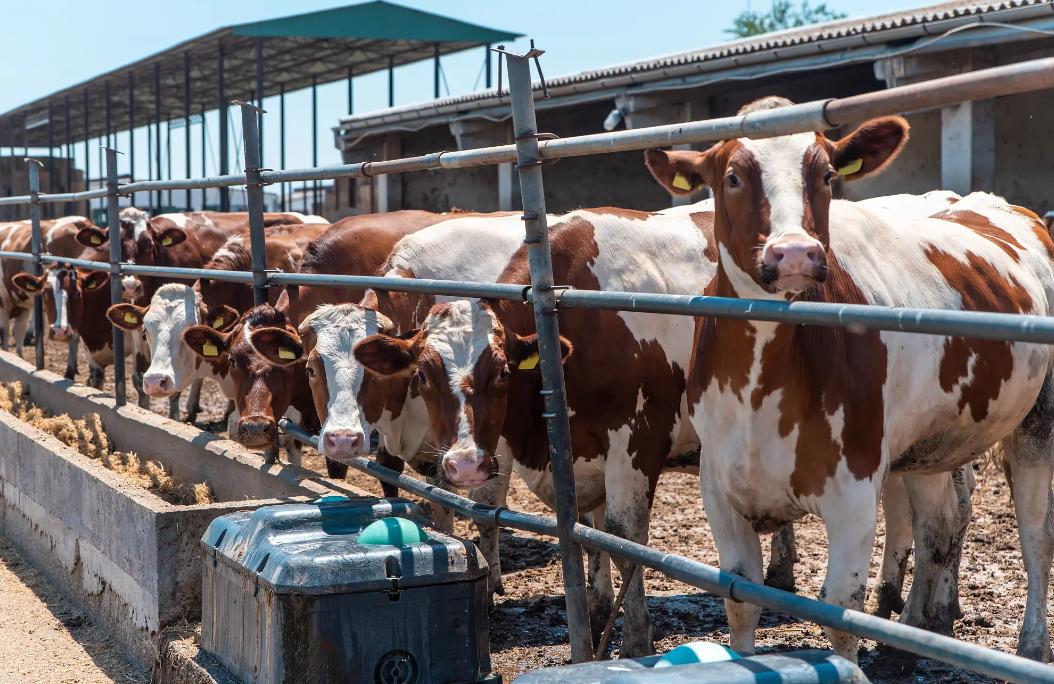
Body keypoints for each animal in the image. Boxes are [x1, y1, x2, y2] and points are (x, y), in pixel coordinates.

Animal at [645, 95, 1054, 661]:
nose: (795, 253)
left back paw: (1031, 644)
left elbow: (841, 612)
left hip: (1038, 421)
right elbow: (740, 599)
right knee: (939, 523)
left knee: (1034, 535)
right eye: (732, 176)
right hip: (931, 442)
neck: (760, 386)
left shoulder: (854, 493)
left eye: (827, 174)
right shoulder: (719, 488)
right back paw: (919, 627)